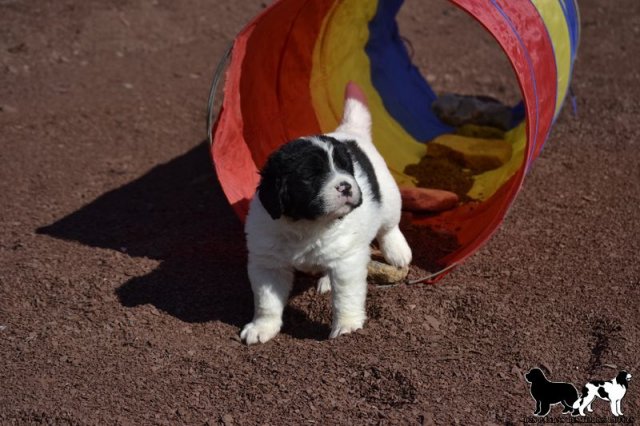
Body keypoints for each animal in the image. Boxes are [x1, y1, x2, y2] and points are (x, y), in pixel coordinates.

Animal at [240, 82, 412, 344]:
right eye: (311, 176)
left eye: (346, 168)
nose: (346, 185)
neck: (307, 224)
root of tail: (350, 131)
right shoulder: (268, 263)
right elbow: (266, 300)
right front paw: (262, 327)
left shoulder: (347, 261)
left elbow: (346, 297)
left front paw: (347, 327)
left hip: (389, 197)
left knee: (389, 227)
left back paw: (398, 251)